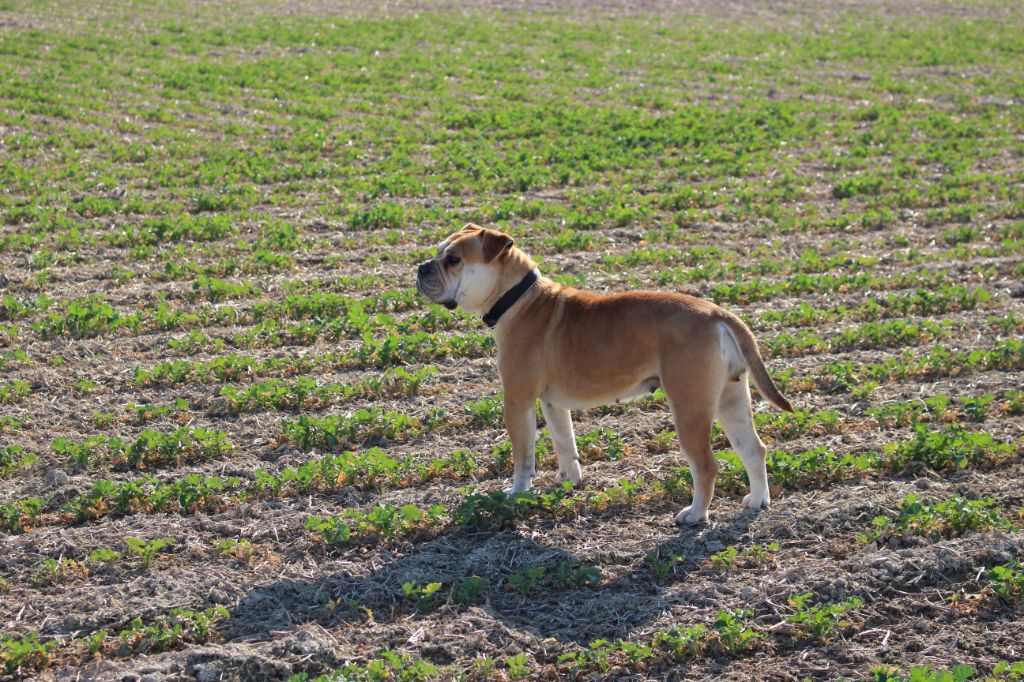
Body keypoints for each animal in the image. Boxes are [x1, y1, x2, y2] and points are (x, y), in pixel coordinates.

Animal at [411, 223, 794, 520]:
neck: (518, 299)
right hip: (731, 398)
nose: (422, 267)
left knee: (706, 465)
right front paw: (569, 480)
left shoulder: (517, 400)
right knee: (754, 449)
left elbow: (524, 455)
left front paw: (517, 493)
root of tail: (717, 314)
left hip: (690, 406)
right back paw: (758, 501)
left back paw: (695, 515)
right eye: (439, 253)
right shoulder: (552, 403)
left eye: (453, 260)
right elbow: (564, 443)